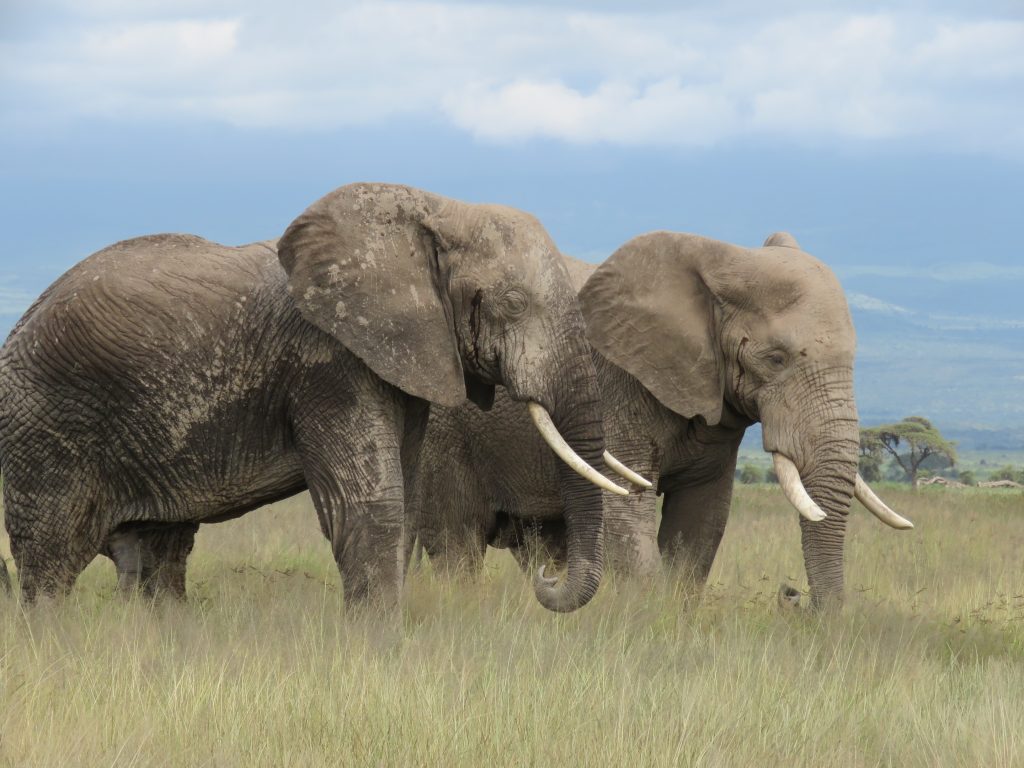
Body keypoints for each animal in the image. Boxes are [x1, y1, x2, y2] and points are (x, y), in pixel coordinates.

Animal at [2, 182, 638, 614]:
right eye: (511, 303)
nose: (545, 580)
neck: (434, 208)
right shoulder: (329, 363)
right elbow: (372, 507)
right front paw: (379, 661)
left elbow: (404, 504)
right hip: (43, 429)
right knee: (50, 566)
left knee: (158, 556)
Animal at [407, 231, 913, 610]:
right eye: (775, 358)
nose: (791, 595)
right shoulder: (618, 384)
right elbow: (625, 508)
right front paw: (645, 620)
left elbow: (702, 521)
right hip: (444, 431)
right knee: (456, 541)